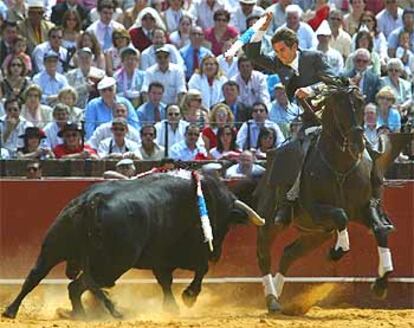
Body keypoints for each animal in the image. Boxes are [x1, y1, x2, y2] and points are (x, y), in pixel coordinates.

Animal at [1, 173, 264, 320]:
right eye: (226, 224)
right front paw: (188, 298)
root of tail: (91, 201)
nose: (216, 253)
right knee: (80, 284)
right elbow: (199, 270)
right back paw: (102, 312)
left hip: (53, 248)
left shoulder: (161, 260)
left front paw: (172, 307)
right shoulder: (184, 255)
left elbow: (165, 281)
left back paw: (16, 311)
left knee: (36, 276)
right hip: (113, 265)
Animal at [256, 78, 410, 314]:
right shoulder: (316, 209)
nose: (357, 144)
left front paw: (381, 285)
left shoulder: (363, 208)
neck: (341, 165)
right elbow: (340, 216)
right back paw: (272, 300)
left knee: (289, 253)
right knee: (264, 253)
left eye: (361, 103)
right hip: (270, 222)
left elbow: (380, 230)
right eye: (339, 106)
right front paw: (336, 252)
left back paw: (281, 297)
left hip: (316, 233)